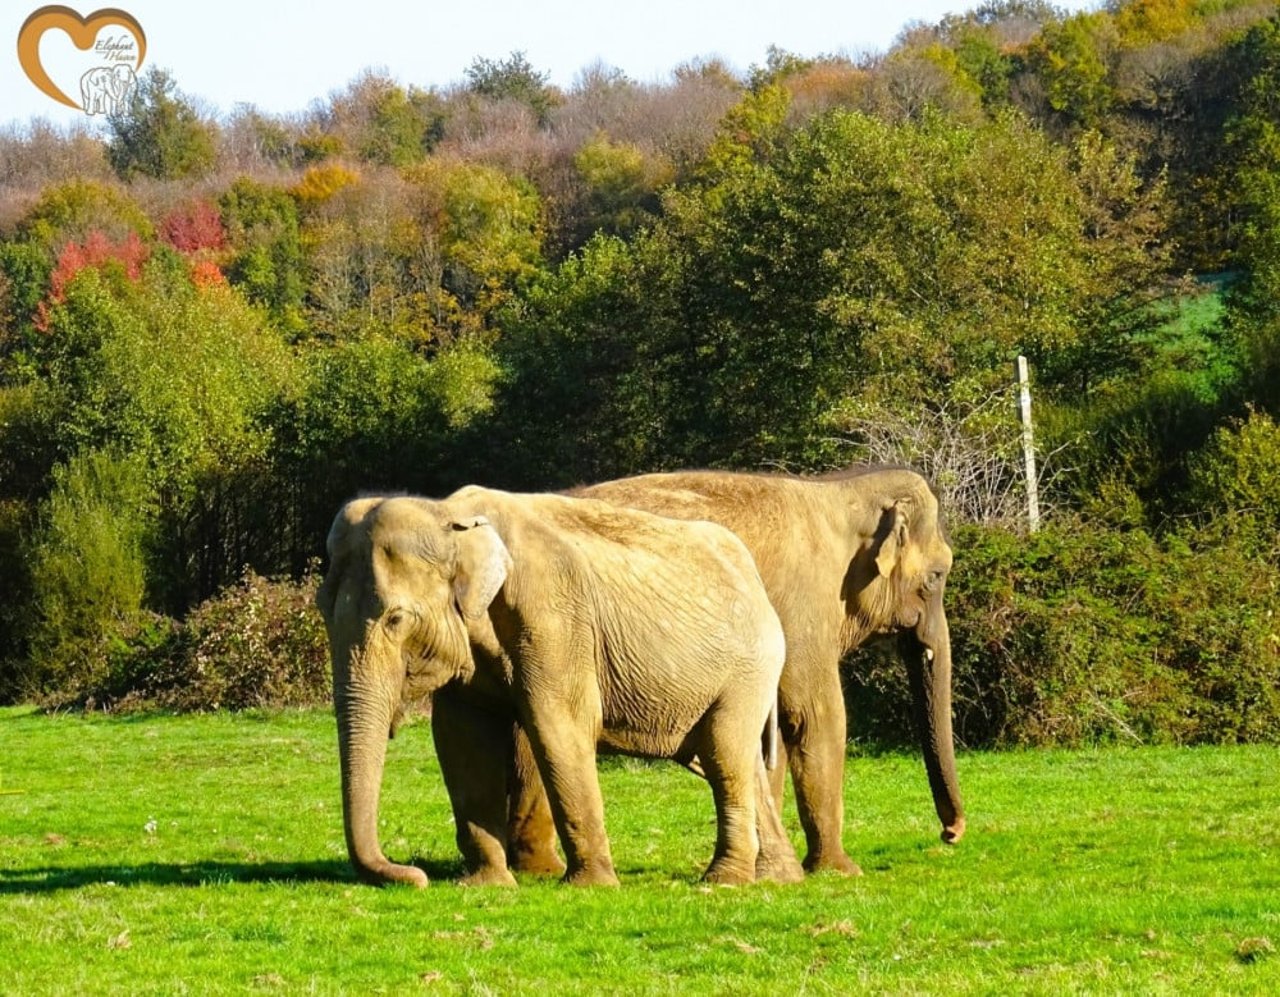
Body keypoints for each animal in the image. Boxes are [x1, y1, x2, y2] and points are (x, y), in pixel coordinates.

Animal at [314, 486, 798, 885]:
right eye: (321, 610)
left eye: (395, 619)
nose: (414, 875)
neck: (450, 514)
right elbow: (462, 740)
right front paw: (487, 885)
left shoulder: (553, 618)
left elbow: (559, 727)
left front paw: (591, 886)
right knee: (730, 758)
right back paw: (778, 877)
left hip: (748, 671)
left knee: (724, 755)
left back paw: (724, 881)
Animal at [504, 463, 962, 875]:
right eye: (937, 575)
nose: (951, 834)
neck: (838, 491)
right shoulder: (805, 608)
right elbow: (816, 716)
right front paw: (839, 870)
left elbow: (769, 735)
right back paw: (544, 869)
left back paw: (532, 868)